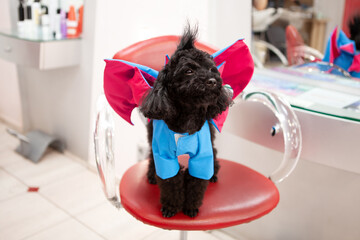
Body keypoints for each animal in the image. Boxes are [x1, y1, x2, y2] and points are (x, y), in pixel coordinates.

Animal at [139, 26, 232, 218]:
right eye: (189, 71)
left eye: (212, 69)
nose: (212, 81)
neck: (188, 115)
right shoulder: (163, 154)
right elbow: (170, 181)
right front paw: (171, 207)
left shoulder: (203, 153)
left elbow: (197, 181)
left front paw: (190, 207)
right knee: (151, 156)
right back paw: (151, 175)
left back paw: (214, 174)